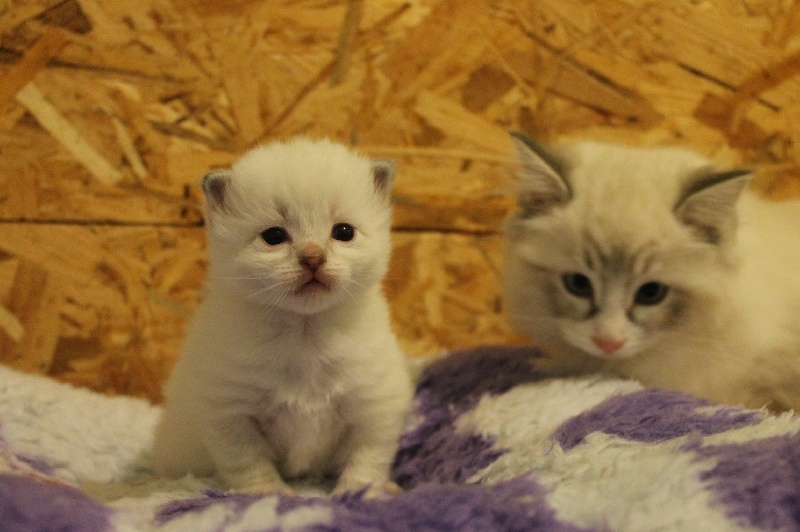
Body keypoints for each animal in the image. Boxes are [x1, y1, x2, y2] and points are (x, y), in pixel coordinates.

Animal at [152, 138, 412, 494]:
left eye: (344, 232)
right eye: (273, 236)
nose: (314, 258)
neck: (305, 333)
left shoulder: (375, 407)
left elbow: (367, 459)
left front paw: (359, 493)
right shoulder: (230, 412)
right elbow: (249, 463)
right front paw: (267, 493)